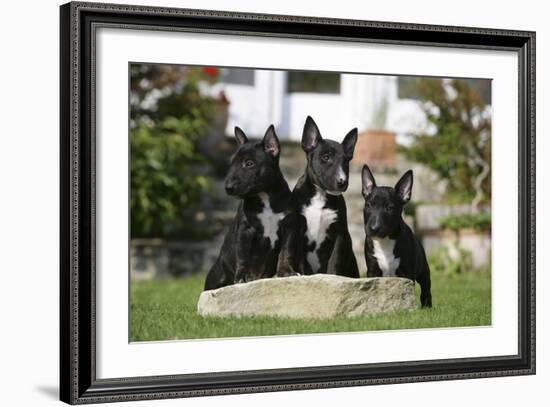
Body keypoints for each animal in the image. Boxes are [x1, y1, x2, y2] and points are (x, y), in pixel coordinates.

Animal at [205, 126, 294, 292]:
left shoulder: (288, 227)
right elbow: (243, 256)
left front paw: (286, 272)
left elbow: (286, 252)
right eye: (231, 164)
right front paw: (242, 277)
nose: (228, 188)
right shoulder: (245, 230)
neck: (265, 196)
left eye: (249, 163)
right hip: (215, 278)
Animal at [278, 116, 360, 278]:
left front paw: (333, 276)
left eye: (346, 161)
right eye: (326, 157)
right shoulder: (297, 229)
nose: (342, 181)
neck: (320, 195)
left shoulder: (340, 234)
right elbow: (300, 259)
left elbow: (335, 259)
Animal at [362, 164, 436, 308]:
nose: (373, 228)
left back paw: (427, 307)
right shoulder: (372, 271)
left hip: (424, 271)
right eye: (368, 205)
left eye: (390, 208)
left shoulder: (406, 274)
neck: (385, 240)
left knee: (426, 290)